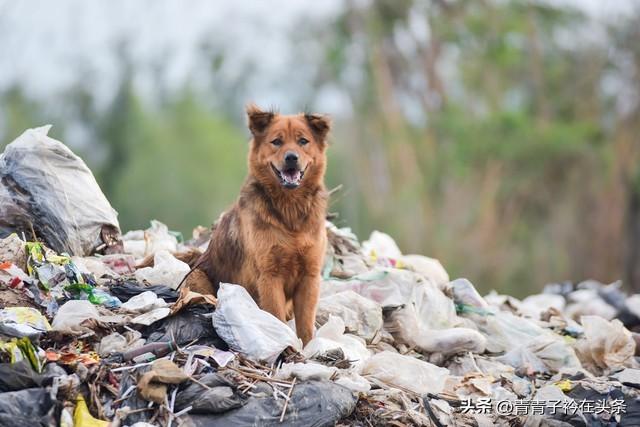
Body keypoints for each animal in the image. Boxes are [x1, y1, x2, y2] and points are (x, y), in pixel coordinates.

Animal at [192, 105, 330, 346]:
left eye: (303, 141)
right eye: (277, 142)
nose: (291, 158)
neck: (290, 211)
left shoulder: (310, 277)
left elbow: (305, 325)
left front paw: (308, 348)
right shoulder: (269, 276)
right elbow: (275, 316)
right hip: (197, 277)